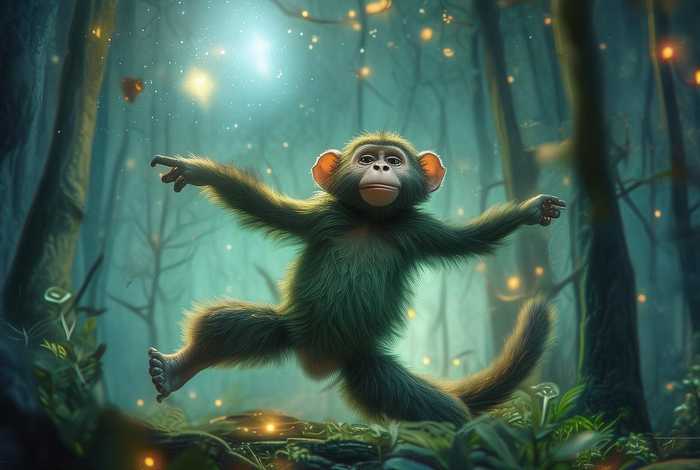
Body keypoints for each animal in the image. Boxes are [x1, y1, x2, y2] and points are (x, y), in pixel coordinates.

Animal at [147, 132, 565, 426]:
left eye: (394, 160)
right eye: (366, 158)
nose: (380, 168)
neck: (368, 220)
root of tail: (318, 363)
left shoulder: (420, 231)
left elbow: (472, 238)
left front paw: (531, 210)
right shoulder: (319, 217)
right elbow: (258, 203)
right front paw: (195, 171)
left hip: (367, 369)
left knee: (433, 408)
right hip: (292, 330)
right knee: (230, 325)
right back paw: (174, 370)